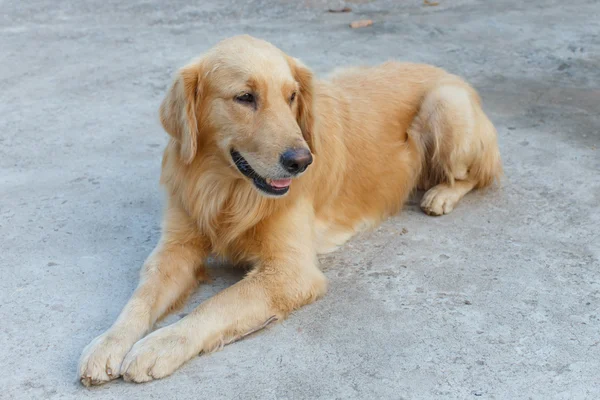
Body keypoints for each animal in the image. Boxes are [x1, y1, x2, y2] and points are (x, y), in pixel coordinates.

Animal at [79, 36, 502, 386]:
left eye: (292, 96)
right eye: (245, 97)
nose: (302, 161)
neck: (227, 189)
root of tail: (448, 73)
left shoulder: (291, 270)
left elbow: (216, 304)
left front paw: (159, 345)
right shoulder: (176, 248)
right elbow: (141, 297)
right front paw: (108, 343)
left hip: (446, 105)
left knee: (474, 175)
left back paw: (441, 195)